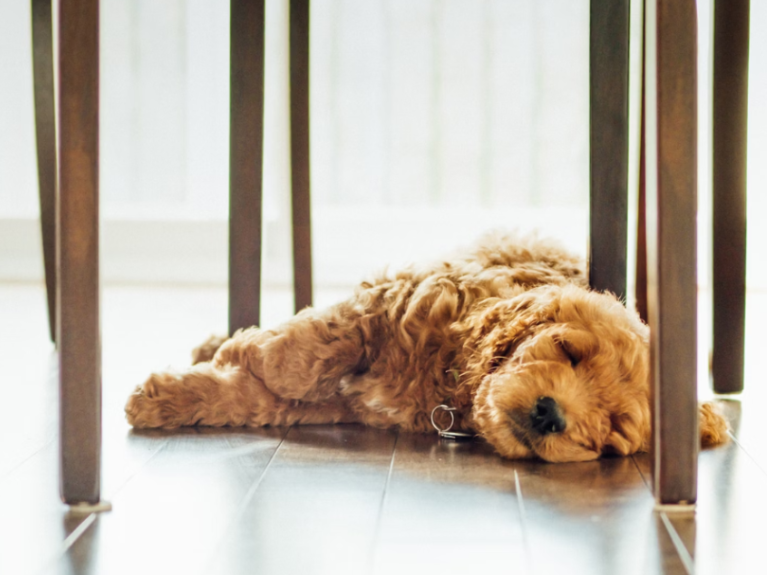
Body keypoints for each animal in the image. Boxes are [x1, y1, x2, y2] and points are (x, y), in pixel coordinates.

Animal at [124, 232, 728, 462]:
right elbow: (305, 351)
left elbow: (256, 398)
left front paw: (163, 397)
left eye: (615, 431)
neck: (449, 381)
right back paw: (221, 341)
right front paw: (248, 353)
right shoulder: (397, 299)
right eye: (567, 351)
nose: (550, 414)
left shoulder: (345, 401)